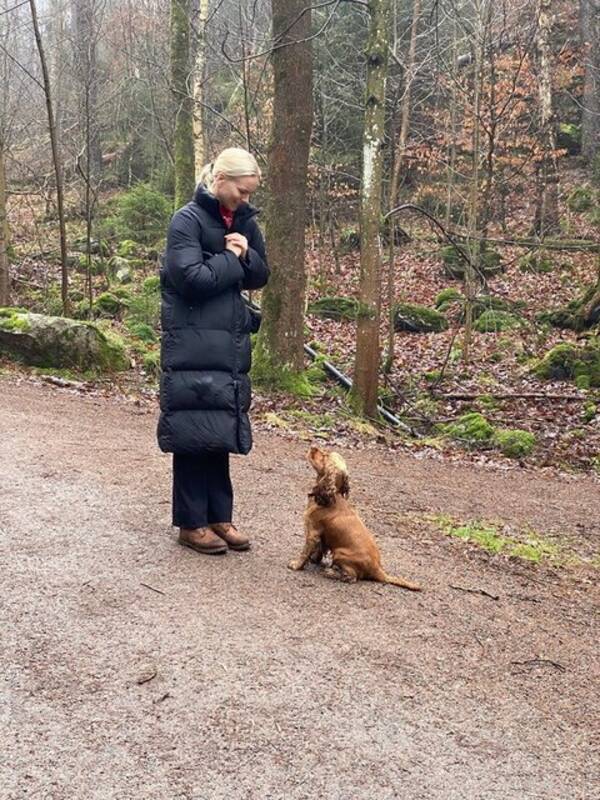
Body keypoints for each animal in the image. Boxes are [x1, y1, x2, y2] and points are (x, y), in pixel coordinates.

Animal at [288, 446, 422, 592]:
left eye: (325, 456)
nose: (313, 447)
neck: (331, 497)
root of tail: (378, 570)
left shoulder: (312, 532)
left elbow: (304, 552)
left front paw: (296, 565)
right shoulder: (321, 536)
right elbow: (319, 549)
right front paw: (314, 559)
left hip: (340, 553)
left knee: (352, 577)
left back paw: (331, 572)